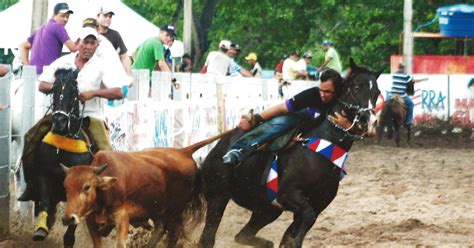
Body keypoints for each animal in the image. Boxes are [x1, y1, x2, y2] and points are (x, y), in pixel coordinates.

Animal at [32, 68, 94, 246]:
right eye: (54, 89)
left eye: (73, 92)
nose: (59, 120)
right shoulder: (44, 174)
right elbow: (45, 202)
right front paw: (41, 229)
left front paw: (69, 238)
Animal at [62, 130, 233, 248]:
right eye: (66, 188)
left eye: (87, 187)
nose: (68, 218)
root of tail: (183, 151)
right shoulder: (90, 220)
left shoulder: (122, 217)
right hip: (156, 209)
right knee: (160, 228)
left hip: (174, 211)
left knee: (173, 232)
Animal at [198, 59, 384, 247]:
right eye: (357, 87)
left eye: (377, 92)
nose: (368, 121)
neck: (321, 152)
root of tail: (216, 149)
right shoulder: (288, 195)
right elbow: (304, 221)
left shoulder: (316, 205)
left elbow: (296, 232)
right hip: (218, 197)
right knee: (207, 238)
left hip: (267, 210)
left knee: (242, 236)